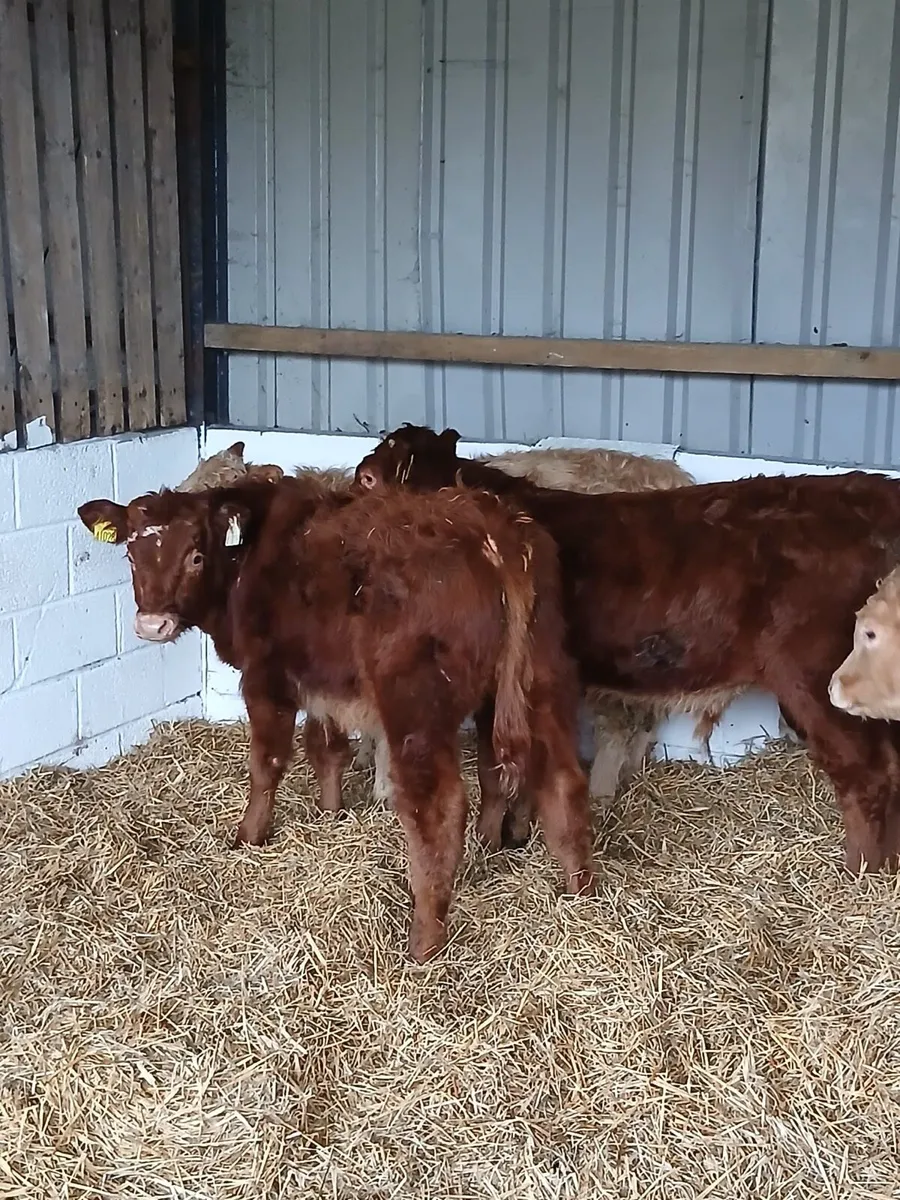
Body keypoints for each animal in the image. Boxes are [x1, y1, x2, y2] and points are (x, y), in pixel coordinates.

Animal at [77, 474, 596, 961]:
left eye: (196, 556)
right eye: (131, 555)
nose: (152, 625)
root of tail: (487, 524)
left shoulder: (266, 678)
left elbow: (267, 763)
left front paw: (248, 836)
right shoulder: (323, 681)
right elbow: (326, 749)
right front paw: (330, 813)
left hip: (416, 707)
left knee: (440, 808)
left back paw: (424, 941)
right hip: (545, 678)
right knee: (563, 782)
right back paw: (581, 894)